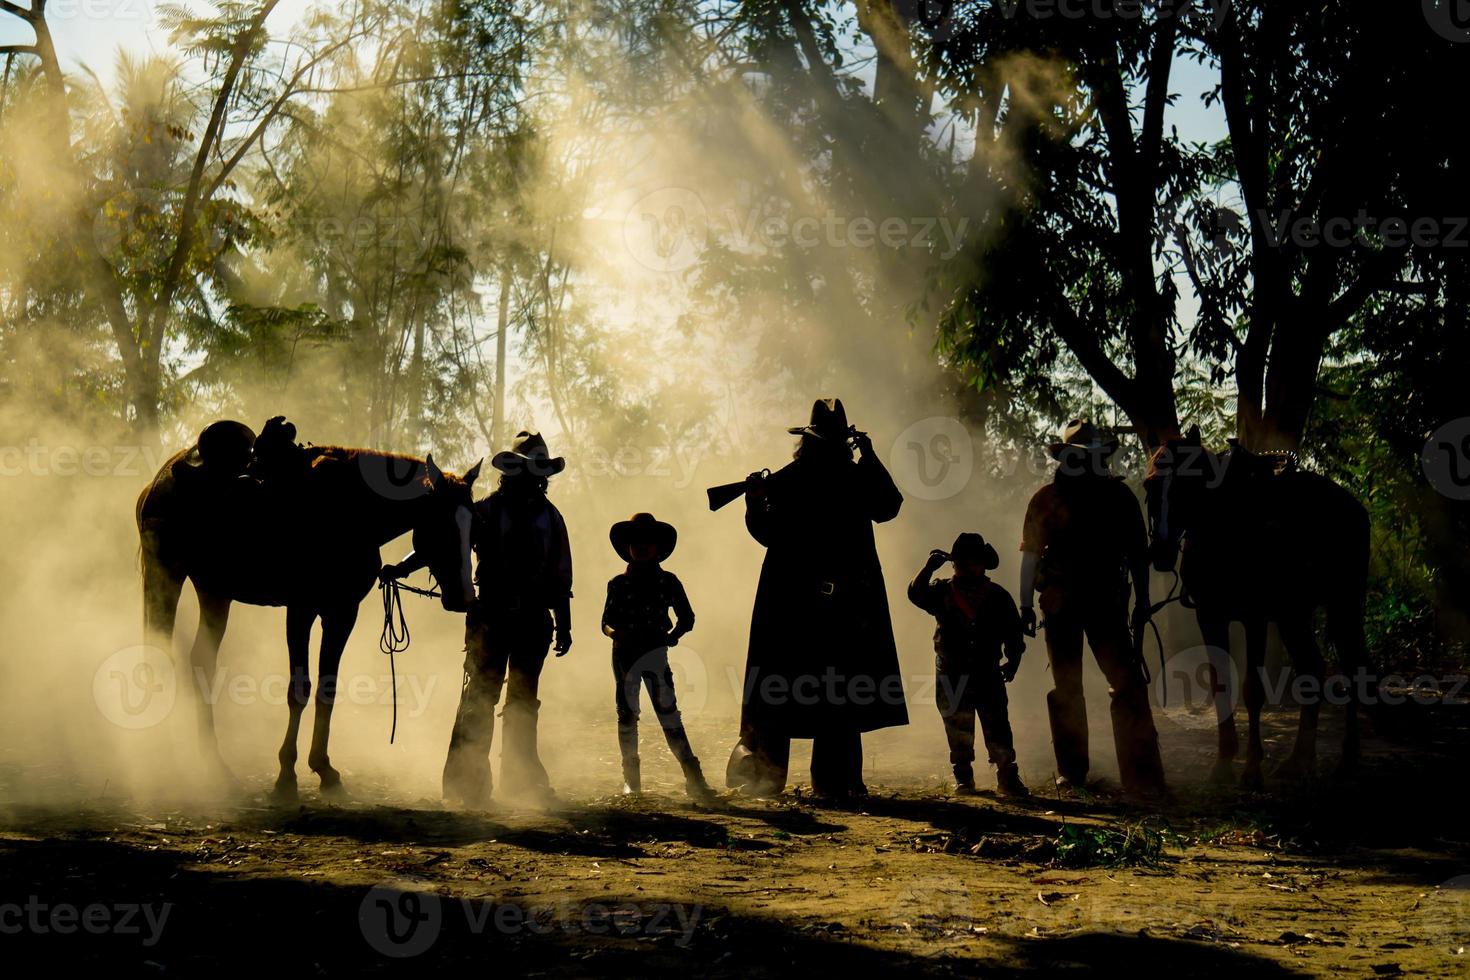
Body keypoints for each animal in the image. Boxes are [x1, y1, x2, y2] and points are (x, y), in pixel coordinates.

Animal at [133, 420, 476, 799]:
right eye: (442, 526)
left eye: (473, 526)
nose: (464, 598)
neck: (348, 512)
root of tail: (159, 480)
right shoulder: (300, 610)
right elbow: (299, 689)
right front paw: (286, 775)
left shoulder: (342, 613)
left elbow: (328, 687)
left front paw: (324, 768)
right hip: (165, 576)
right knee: (158, 651)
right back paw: (161, 755)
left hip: (213, 592)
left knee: (201, 663)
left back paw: (215, 765)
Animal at [1140, 429, 1370, 787]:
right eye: (1150, 485)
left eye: (1186, 485)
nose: (1161, 550)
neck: (1224, 529)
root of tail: (1353, 508)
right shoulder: (1211, 616)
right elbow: (1221, 682)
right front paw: (1223, 762)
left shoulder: (1255, 619)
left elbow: (1253, 689)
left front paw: (1250, 769)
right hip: (1294, 615)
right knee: (1312, 668)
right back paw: (1298, 760)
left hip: (1343, 606)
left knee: (1352, 671)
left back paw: (1346, 760)